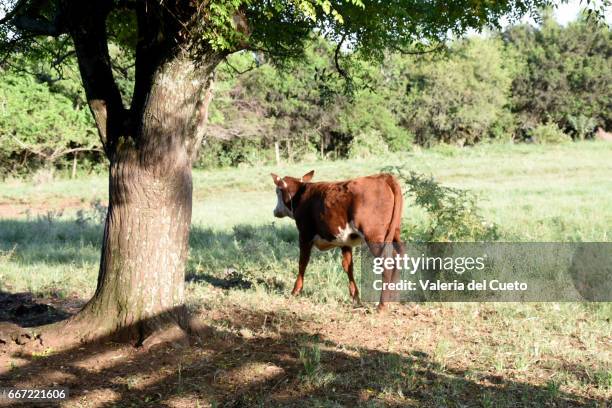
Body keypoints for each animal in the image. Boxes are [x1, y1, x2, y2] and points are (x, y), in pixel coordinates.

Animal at [270, 170, 404, 310]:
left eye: (277, 191)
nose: (275, 211)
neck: (301, 194)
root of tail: (383, 177)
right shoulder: (345, 241)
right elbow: (348, 266)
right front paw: (355, 297)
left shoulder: (305, 235)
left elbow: (302, 263)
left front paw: (295, 291)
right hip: (395, 233)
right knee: (399, 255)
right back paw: (394, 298)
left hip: (373, 236)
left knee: (388, 263)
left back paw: (382, 305)